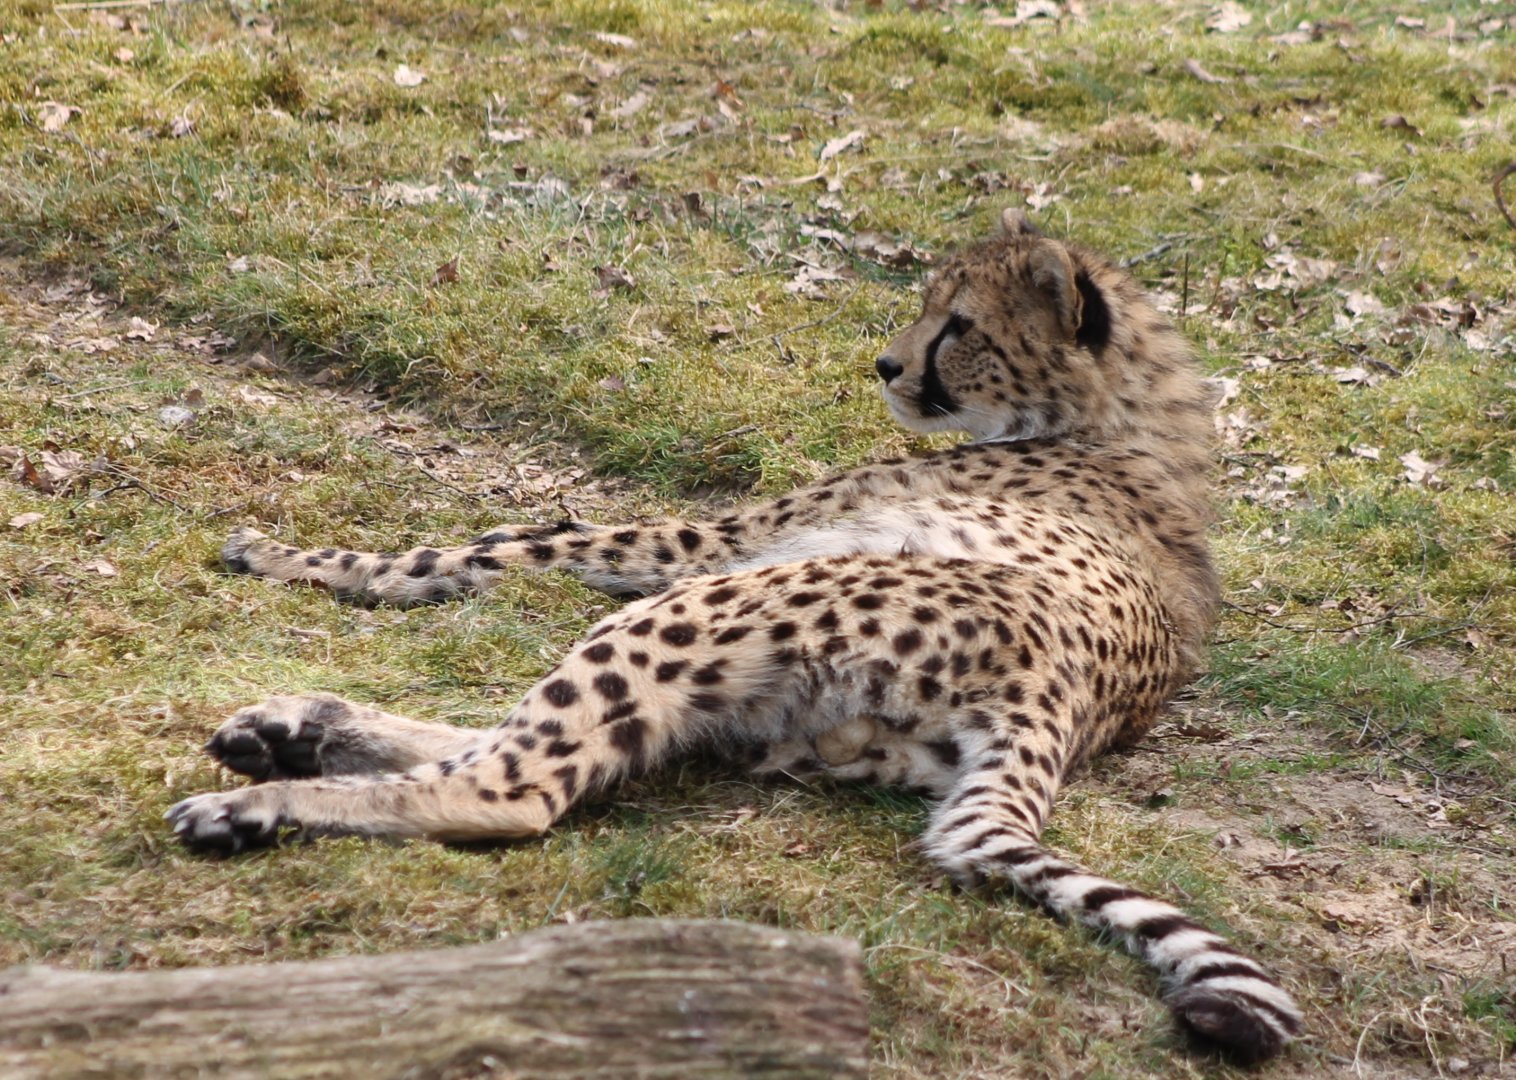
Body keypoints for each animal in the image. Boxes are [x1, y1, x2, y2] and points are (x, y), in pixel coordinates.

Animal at [167, 208, 1302, 1061]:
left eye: (959, 324)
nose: (885, 365)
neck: (1115, 420)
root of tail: (1057, 709)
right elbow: (524, 540)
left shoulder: (718, 540)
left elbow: (491, 550)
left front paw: (295, 557)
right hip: (767, 703)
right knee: (541, 742)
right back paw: (295, 727)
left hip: (719, 606)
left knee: (514, 785)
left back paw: (260, 800)